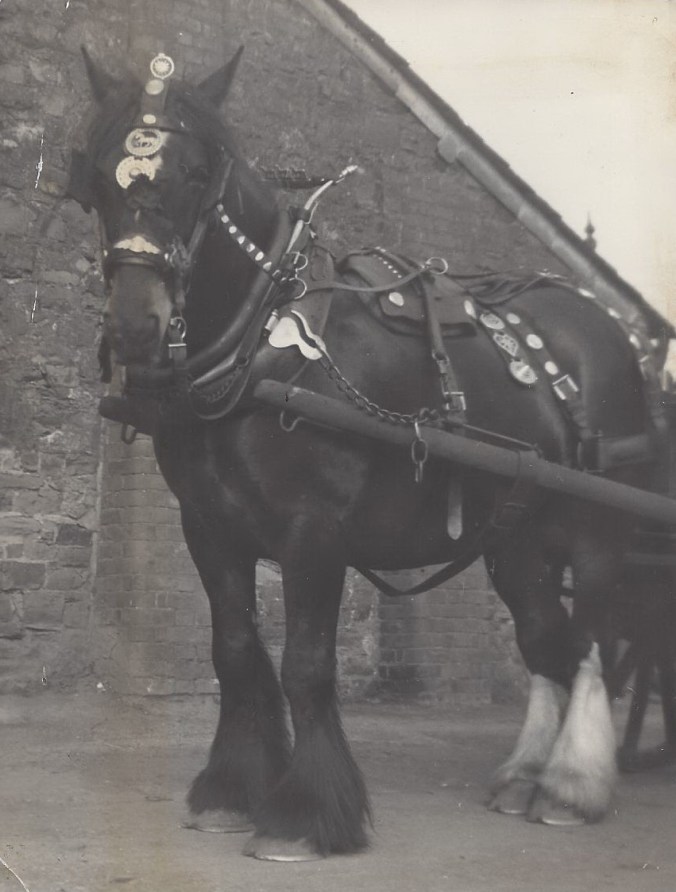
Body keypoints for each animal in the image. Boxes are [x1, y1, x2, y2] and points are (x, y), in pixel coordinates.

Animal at [65, 48, 661, 861]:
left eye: (195, 173)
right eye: (96, 177)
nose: (134, 327)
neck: (262, 342)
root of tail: (606, 326)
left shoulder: (315, 530)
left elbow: (306, 663)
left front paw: (306, 813)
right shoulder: (208, 529)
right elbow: (235, 651)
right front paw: (232, 790)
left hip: (596, 530)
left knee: (593, 638)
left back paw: (571, 783)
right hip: (515, 539)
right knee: (547, 639)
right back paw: (525, 776)